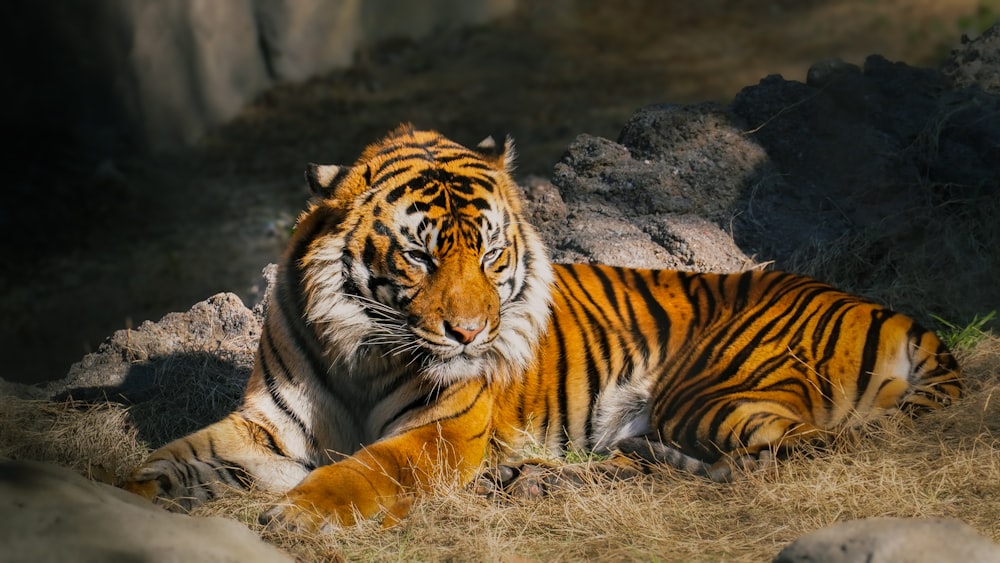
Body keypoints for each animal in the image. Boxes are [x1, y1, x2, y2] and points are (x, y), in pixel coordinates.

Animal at [123, 122, 960, 528]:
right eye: (420, 257)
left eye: (491, 255)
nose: (470, 336)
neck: (362, 349)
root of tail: (890, 310)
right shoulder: (268, 427)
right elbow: (173, 457)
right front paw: (118, 497)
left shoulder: (442, 429)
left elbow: (361, 470)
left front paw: (297, 514)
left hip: (714, 395)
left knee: (794, 455)